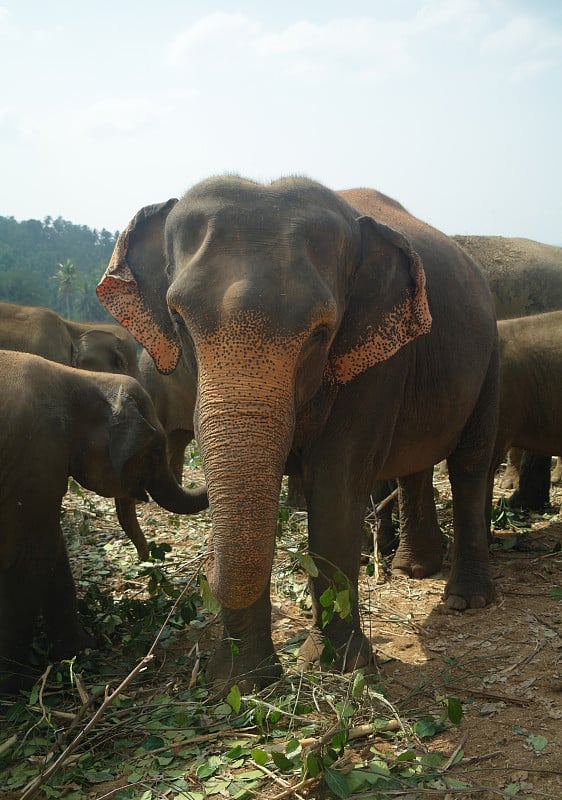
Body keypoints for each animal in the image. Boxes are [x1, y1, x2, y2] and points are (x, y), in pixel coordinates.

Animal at [0, 350, 207, 692]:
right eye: (155, 451)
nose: (148, 560)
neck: (78, 378)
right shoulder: (36, 460)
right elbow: (33, 556)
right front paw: (16, 685)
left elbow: (54, 551)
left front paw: (80, 650)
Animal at [97, 178, 498, 692]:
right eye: (178, 319)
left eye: (321, 332)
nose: (201, 579)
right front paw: (244, 683)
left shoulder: (374, 363)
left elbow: (337, 484)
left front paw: (341, 665)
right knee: (416, 466)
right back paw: (414, 568)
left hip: (490, 354)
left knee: (469, 463)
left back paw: (465, 599)